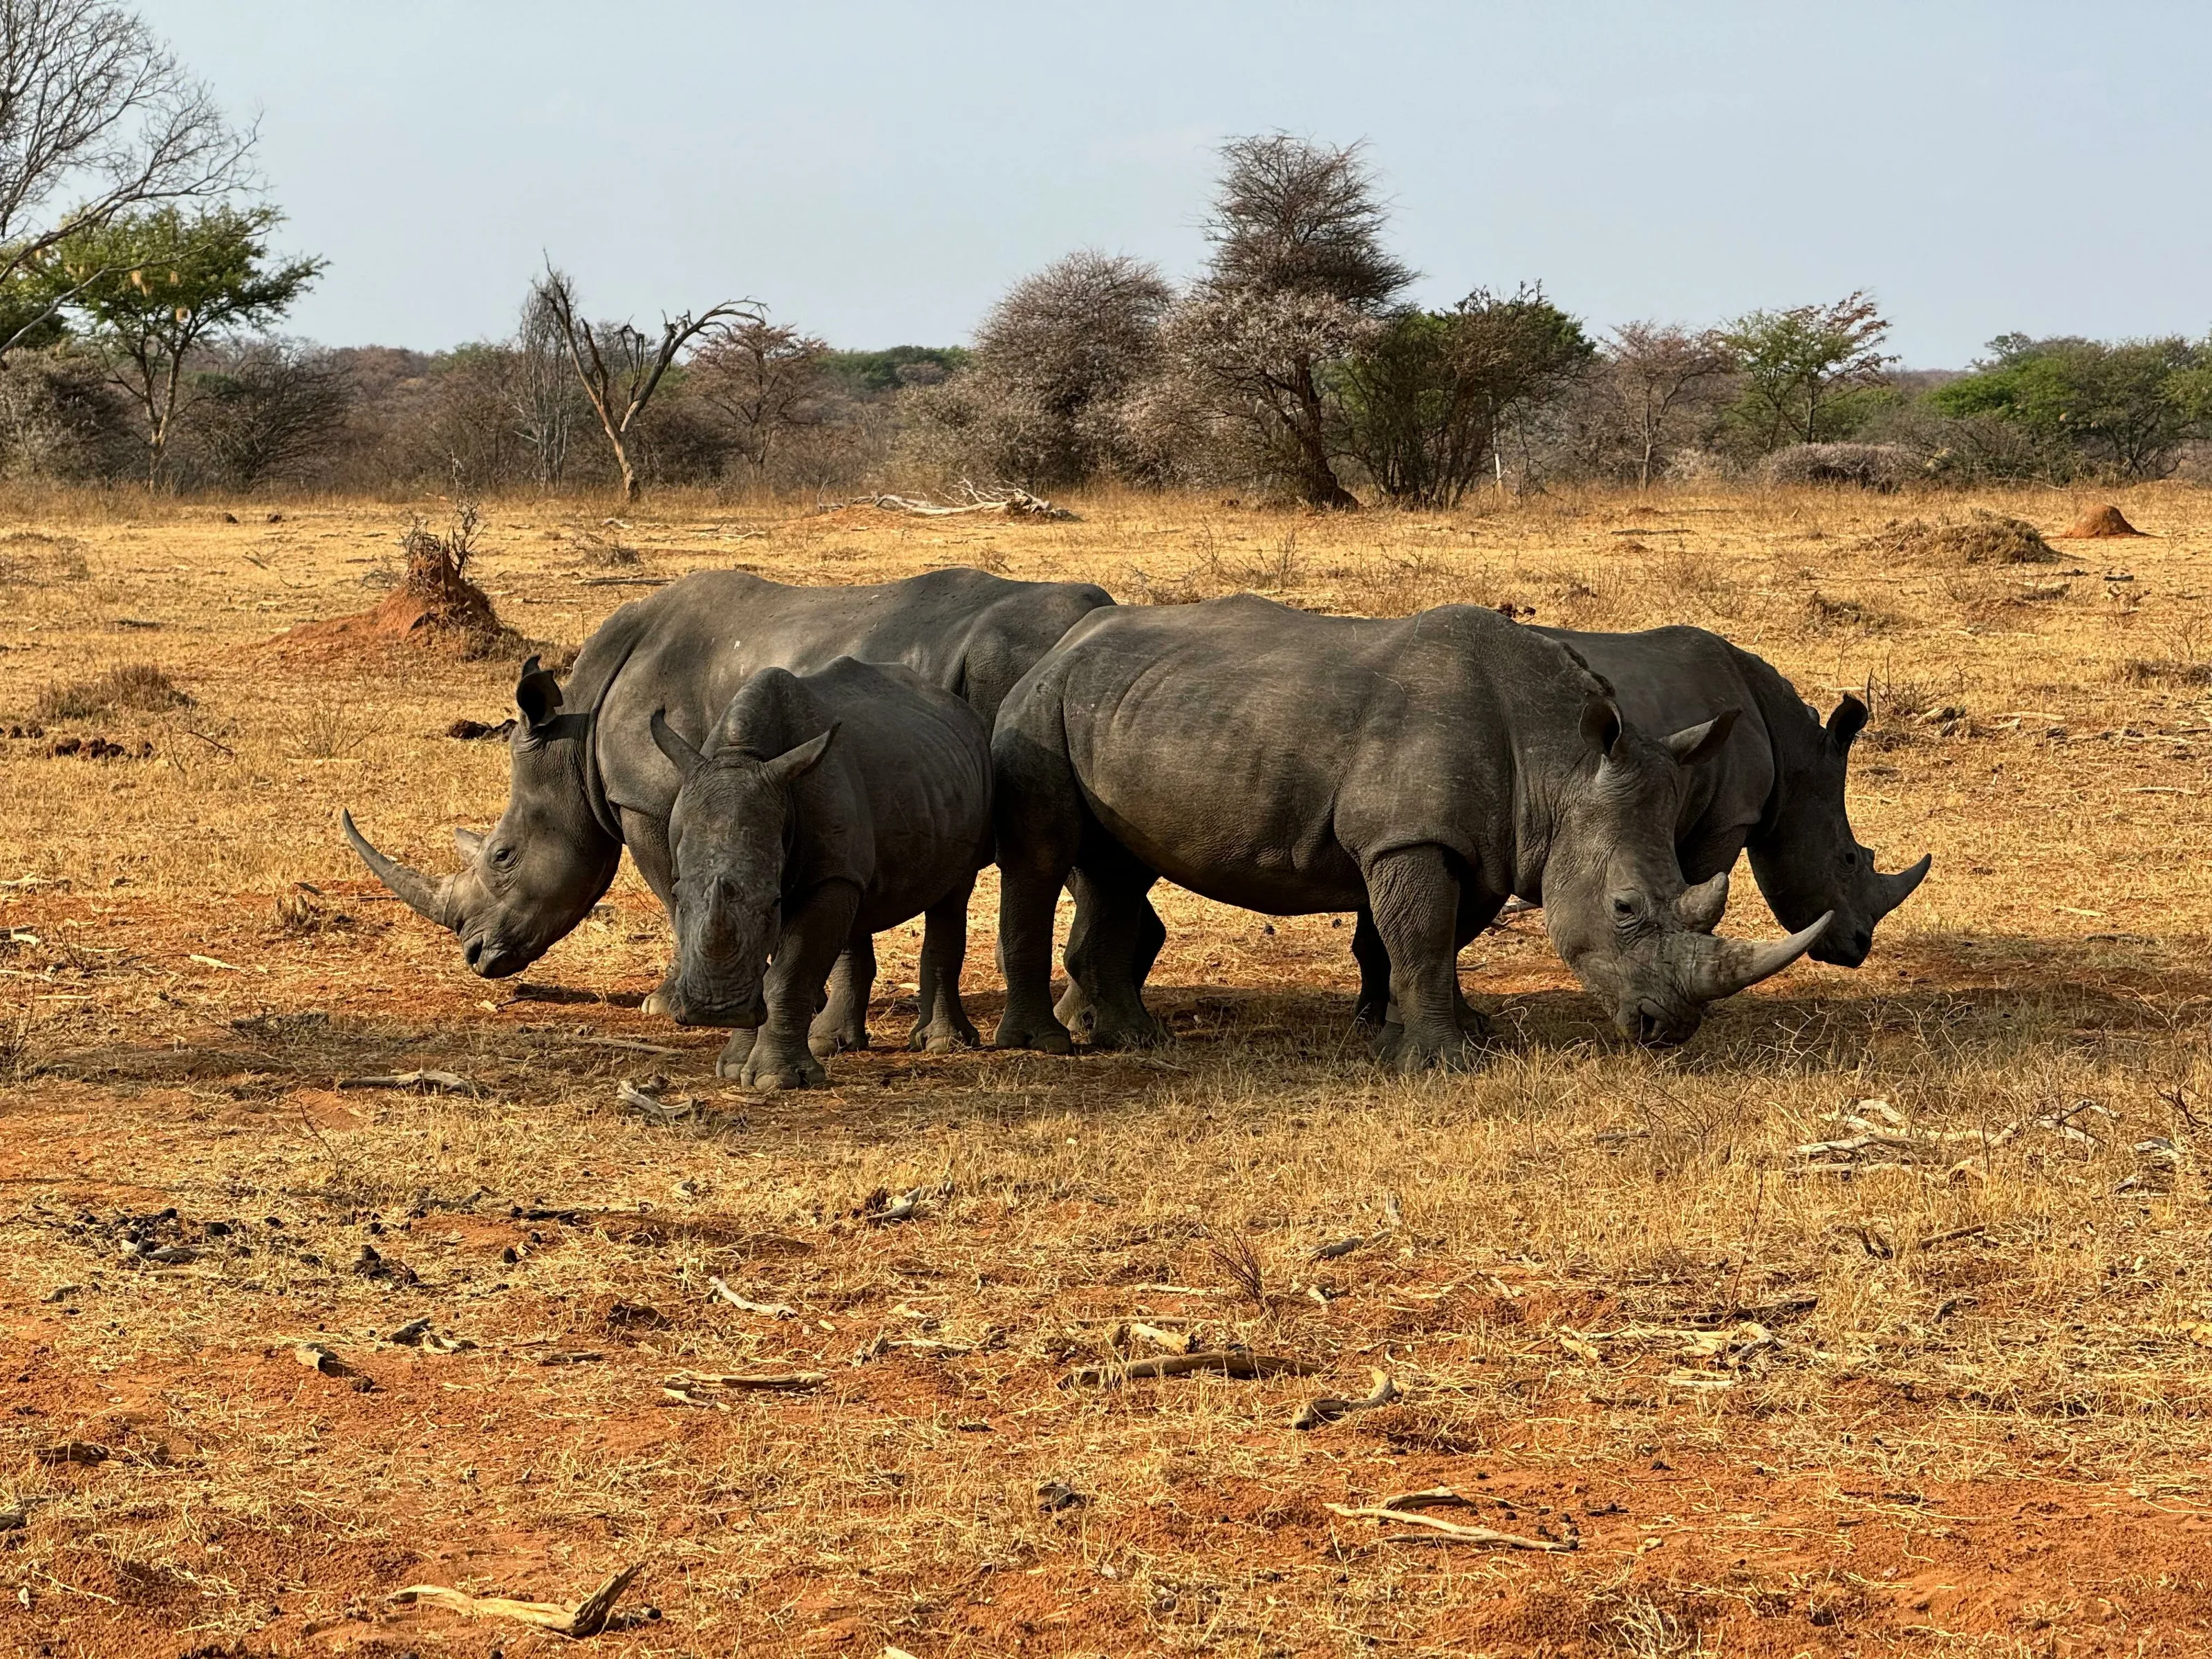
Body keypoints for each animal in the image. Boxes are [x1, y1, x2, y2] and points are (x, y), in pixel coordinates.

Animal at [341, 568, 1110, 1009]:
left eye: (502, 856)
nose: (475, 956)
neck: (575, 738)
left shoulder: (651, 797)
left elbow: (672, 890)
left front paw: (667, 1002)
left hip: (1027, 678)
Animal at [646, 658, 993, 1087]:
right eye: (677, 897)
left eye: (774, 903)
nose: (716, 1010)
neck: (743, 756)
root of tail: (962, 711)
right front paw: (733, 1068)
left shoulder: (822, 876)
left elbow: (789, 973)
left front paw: (776, 1080)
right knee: (857, 907)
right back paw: (830, 1043)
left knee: (952, 896)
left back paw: (943, 1044)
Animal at [991, 594, 1830, 1068]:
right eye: (1624, 908)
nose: (1669, 1030)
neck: (1558, 765)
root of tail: (1063, 643)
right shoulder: (1409, 837)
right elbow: (1422, 938)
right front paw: (1443, 1063)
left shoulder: (1489, 843)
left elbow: (1439, 940)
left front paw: (1453, 1036)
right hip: (1040, 703)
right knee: (1043, 860)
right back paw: (1045, 1048)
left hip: (1121, 706)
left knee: (1117, 869)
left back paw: (1135, 1042)